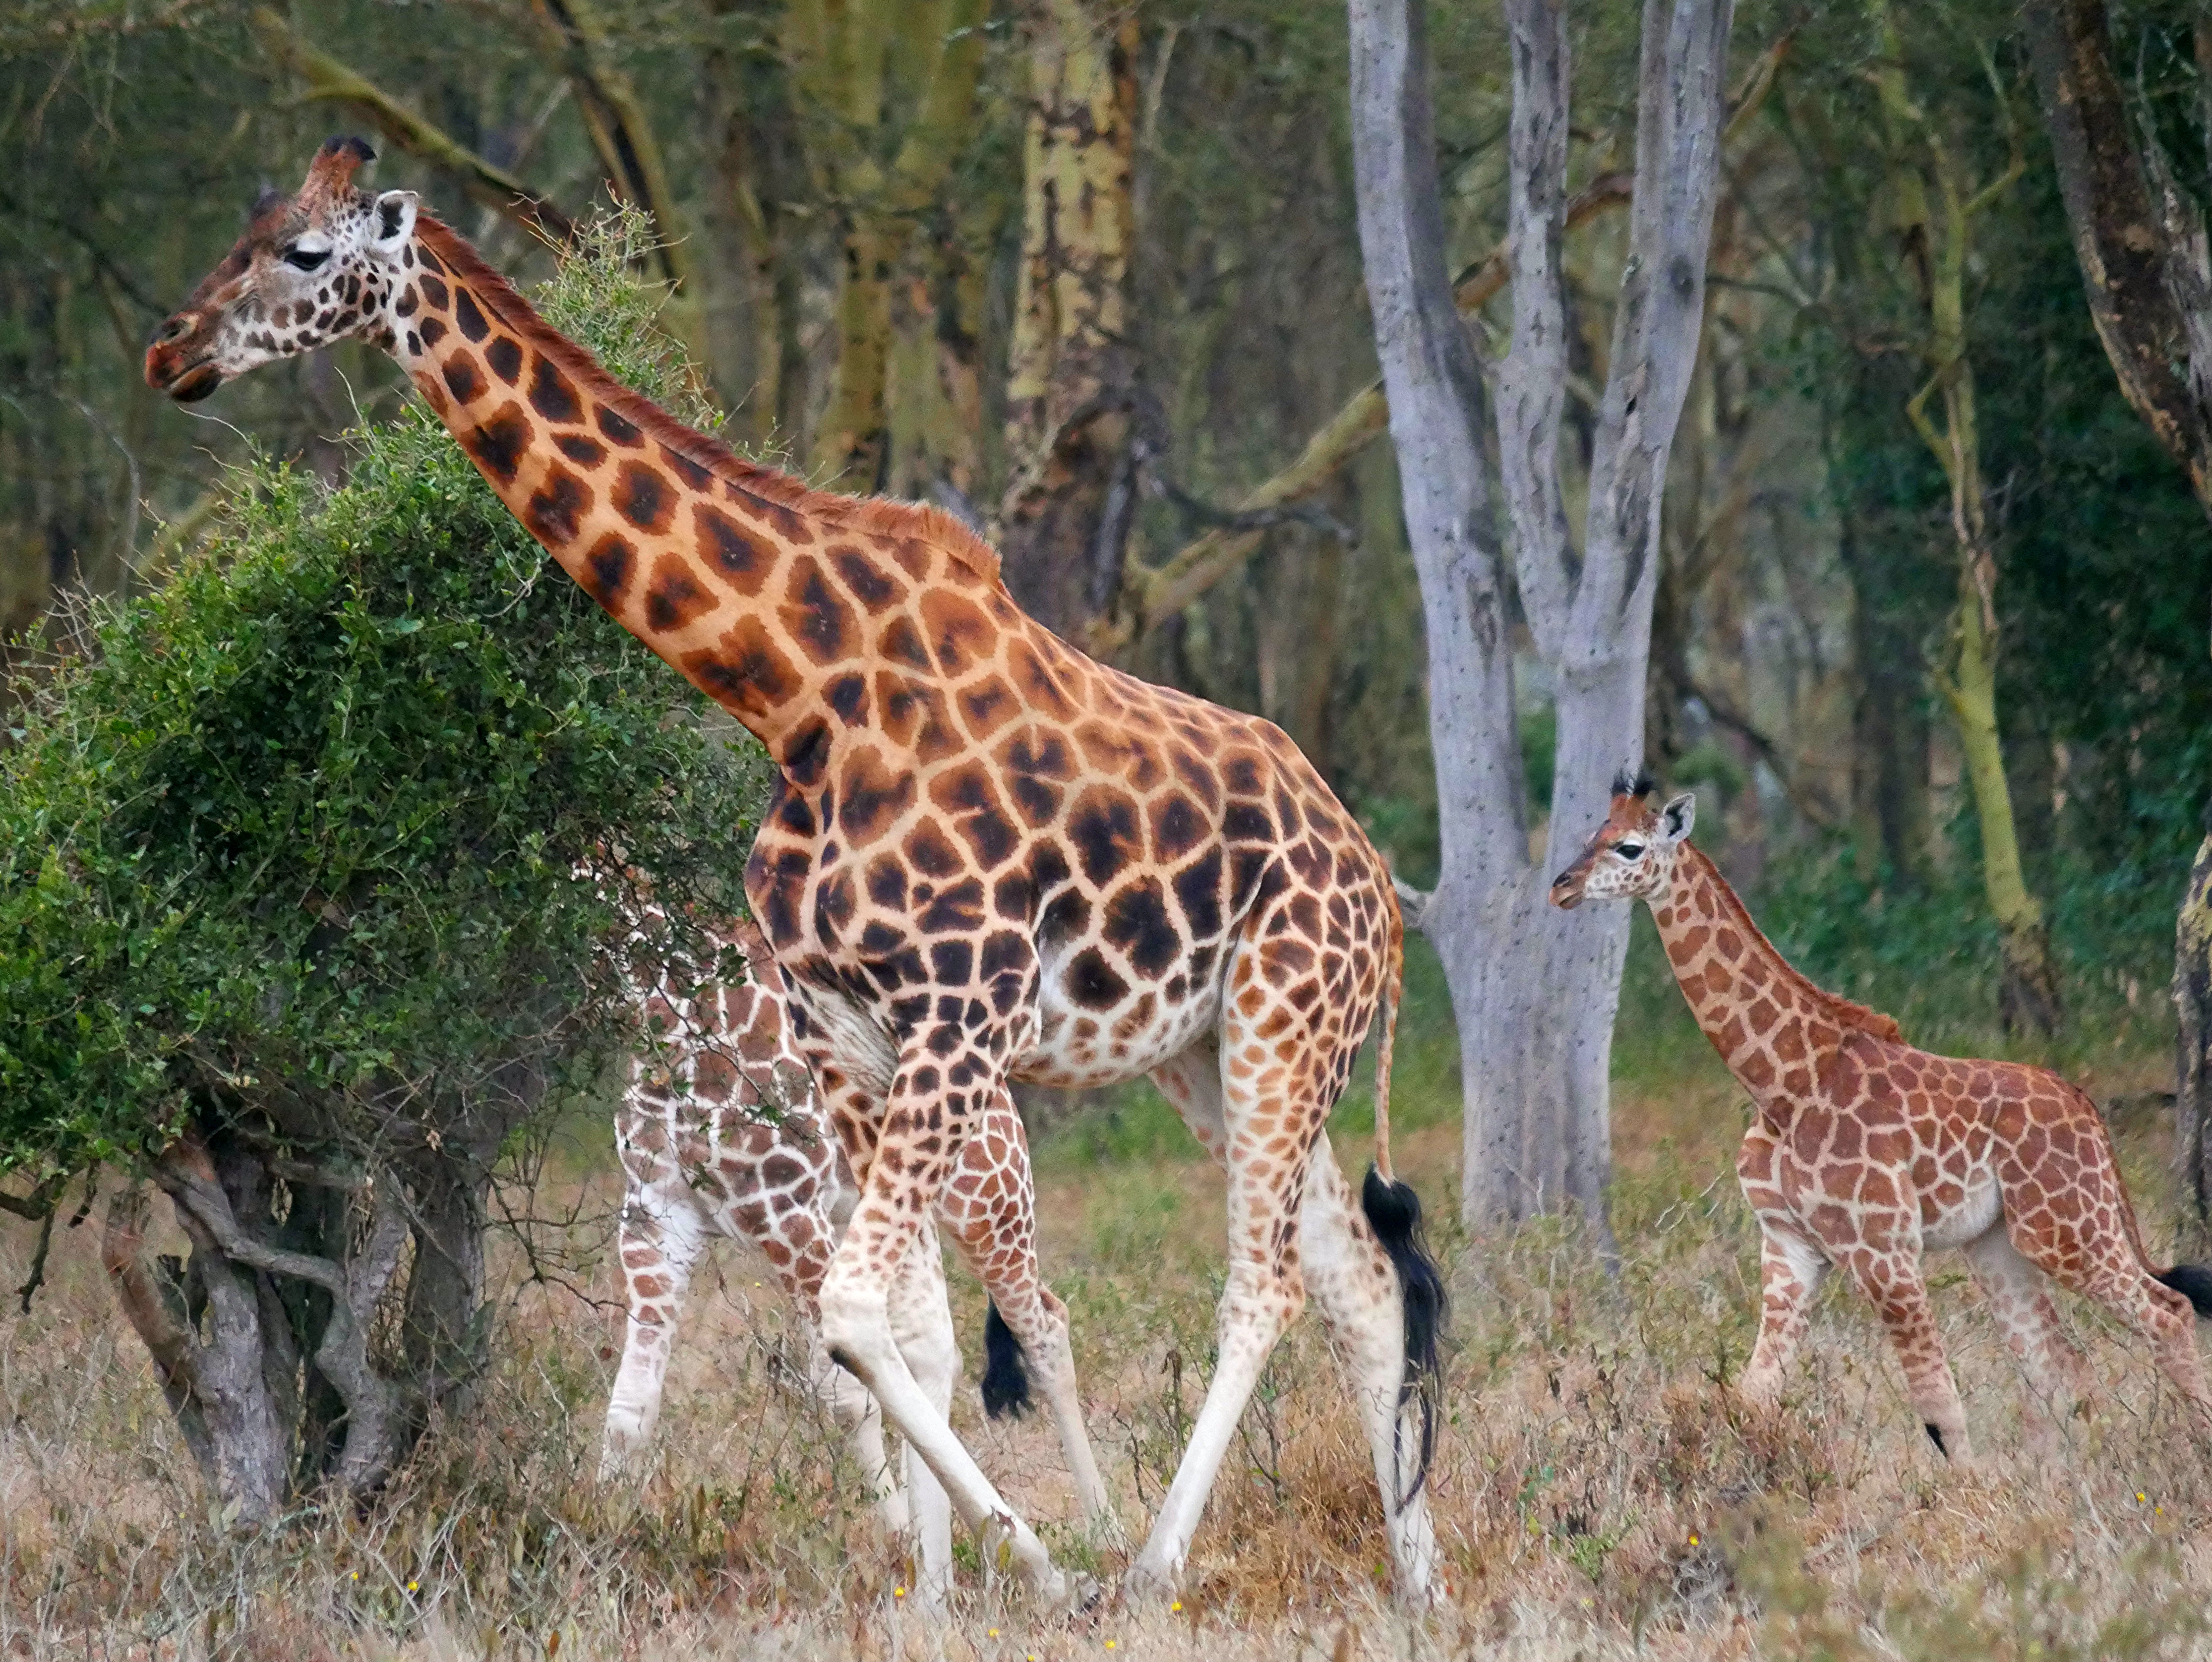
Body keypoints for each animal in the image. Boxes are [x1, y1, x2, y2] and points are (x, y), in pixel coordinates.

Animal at [147, 146, 1442, 1611]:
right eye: (245, 229)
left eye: (304, 254)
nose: (173, 351)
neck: (797, 690)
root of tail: (1379, 889)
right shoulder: (848, 1039)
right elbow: (902, 1332)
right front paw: (937, 1598)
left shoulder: (953, 1021)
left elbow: (854, 1315)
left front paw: (1039, 1570)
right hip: (1207, 1050)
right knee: (1357, 1282)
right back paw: (1418, 1582)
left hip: (1274, 1023)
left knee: (1258, 1285)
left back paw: (1154, 1563)